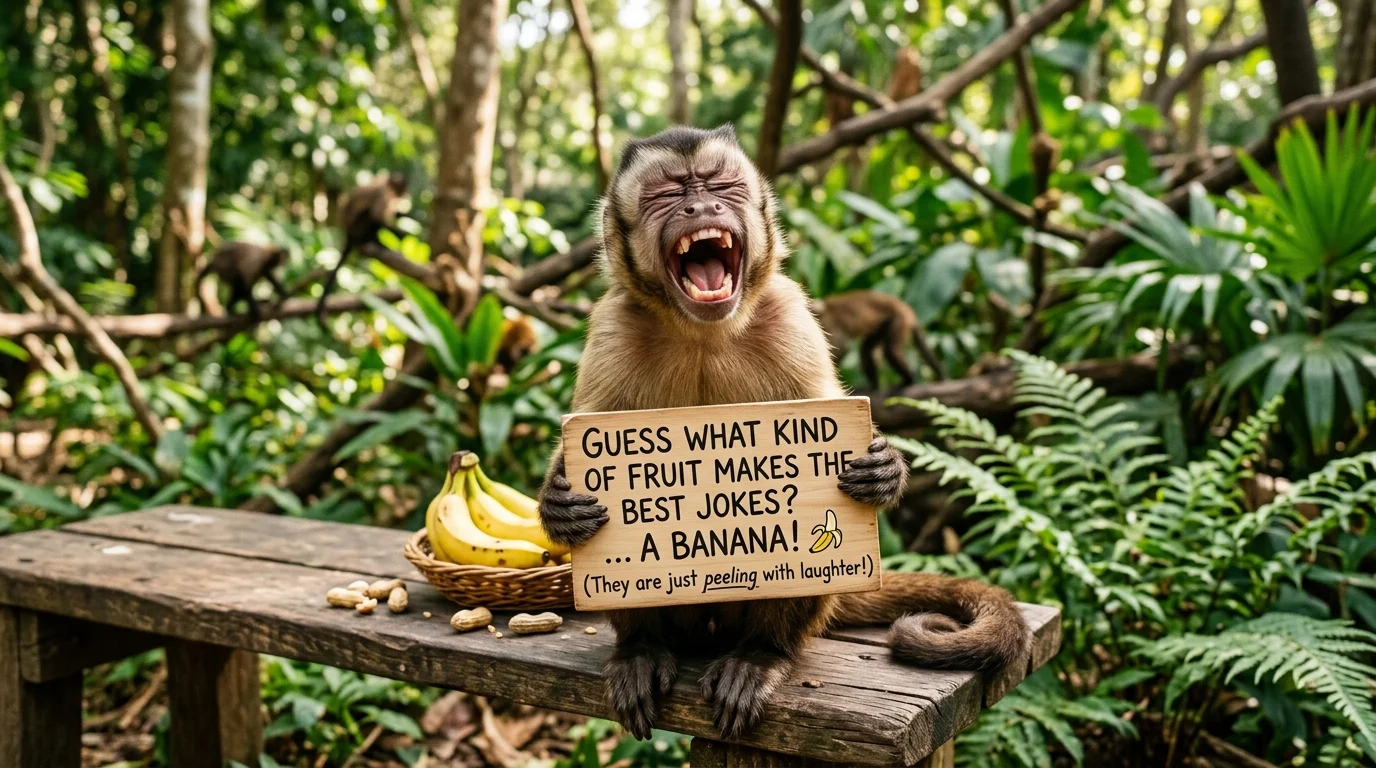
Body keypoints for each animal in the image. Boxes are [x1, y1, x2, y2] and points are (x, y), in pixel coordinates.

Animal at [319, 172, 411, 326]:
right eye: (402, 189)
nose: (406, 195)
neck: (386, 181)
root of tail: (349, 234)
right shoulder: (384, 193)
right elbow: (377, 216)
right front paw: (402, 233)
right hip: (359, 227)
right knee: (370, 216)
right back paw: (373, 242)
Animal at [811, 289, 948, 388]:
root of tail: (906, 308)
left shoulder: (830, 322)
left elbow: (841, 347)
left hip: (899, 319)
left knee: (890, 351)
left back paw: (908, 380)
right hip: (883, 326)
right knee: (866, 349)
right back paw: (874, 385)